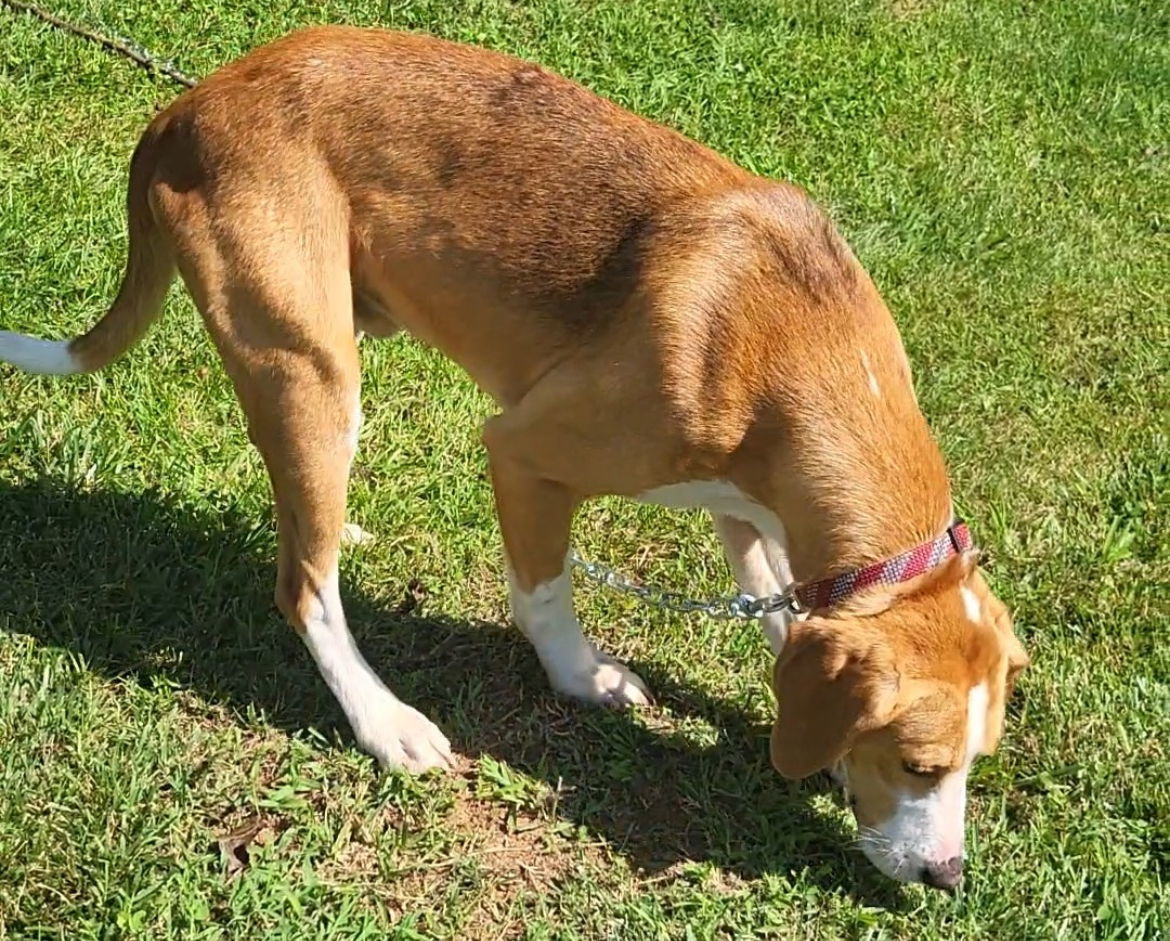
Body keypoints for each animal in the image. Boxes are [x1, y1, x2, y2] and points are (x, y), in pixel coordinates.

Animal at [0, 23, 1024, 889]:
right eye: (919, 762)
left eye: (973, 765)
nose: (946, 877)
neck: (811, 349)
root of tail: (192, 103)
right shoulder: (527, 453)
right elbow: (544, 594)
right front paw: (581, 676)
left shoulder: (753, 513)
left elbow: (781, 610)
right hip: (311, 368)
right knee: (304, 588)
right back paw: (384, 719)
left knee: (306, 525)